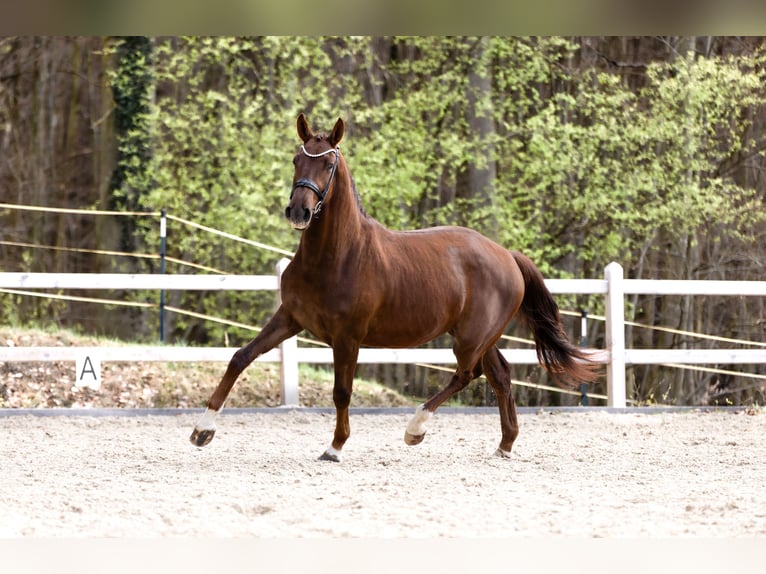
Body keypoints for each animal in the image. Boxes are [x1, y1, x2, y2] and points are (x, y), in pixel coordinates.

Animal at [190, 113, 599, 461]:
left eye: (328, 165)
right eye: (296, 160)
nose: (299, 212)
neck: (336, 257)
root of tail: (507, 255)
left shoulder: (348, 337)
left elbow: (341, 392)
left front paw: (335, 447)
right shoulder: (290, 318)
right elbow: (241, 357)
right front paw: (202, 430)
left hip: (470, 338)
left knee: (467, 375)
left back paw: (416, 428)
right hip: (478, 337)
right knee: (499, 374)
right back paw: (505, 445)